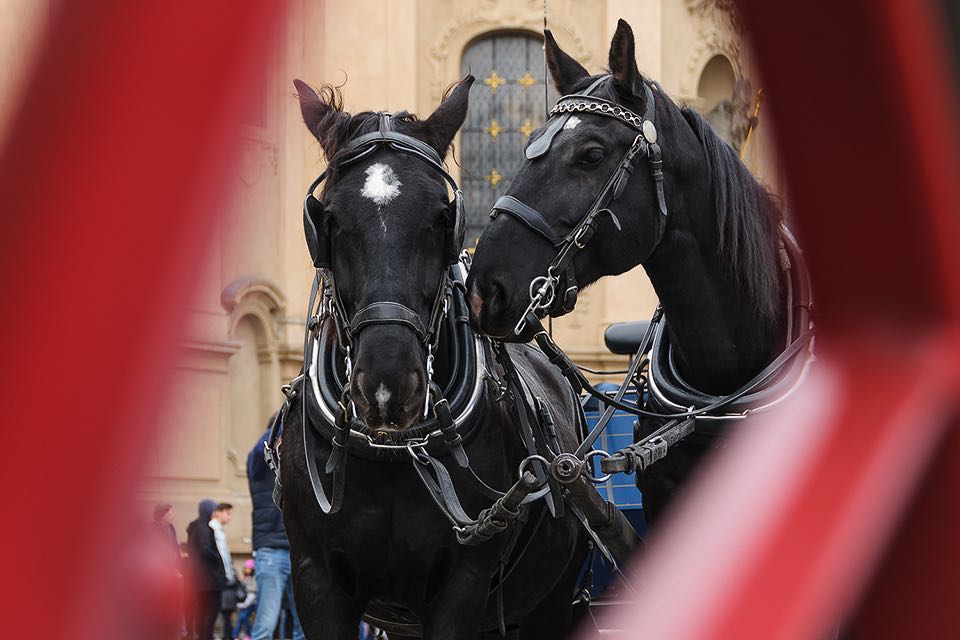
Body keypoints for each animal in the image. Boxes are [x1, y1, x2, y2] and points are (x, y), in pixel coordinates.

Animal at [278, 77, 588, 636]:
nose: (387, 386)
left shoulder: (462, 585)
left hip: (549, 603)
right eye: (329, 221)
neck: (395, 453)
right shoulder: (316, 583)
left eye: (443, 219)